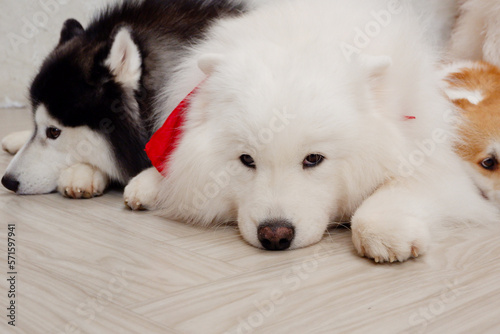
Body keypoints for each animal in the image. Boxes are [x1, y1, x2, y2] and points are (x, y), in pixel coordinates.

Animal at [124, 0, 496, 262]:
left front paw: (385, 232)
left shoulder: (434, 160)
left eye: (313, 159)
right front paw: (150, 182)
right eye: (247, 160)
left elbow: (394, 191)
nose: (274, 235)